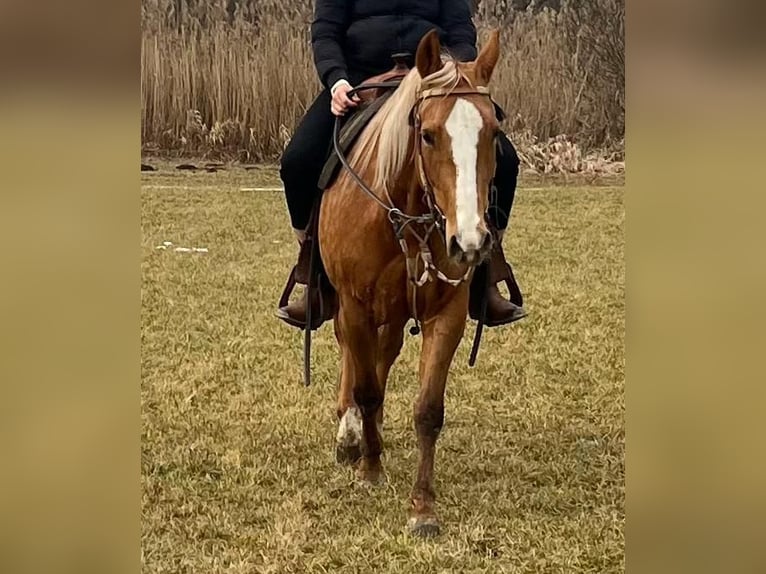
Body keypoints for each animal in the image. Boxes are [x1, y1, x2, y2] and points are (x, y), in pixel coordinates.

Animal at [318, 29, 503, 536]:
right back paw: (351, 434)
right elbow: (365, 388)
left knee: (384, 355)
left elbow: (427, 409)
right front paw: (369, 467)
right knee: (353, 357)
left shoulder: (447, 314)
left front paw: (422, 507)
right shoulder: (356, 305)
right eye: (427, 134)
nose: (470, 241)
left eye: (493, 133)